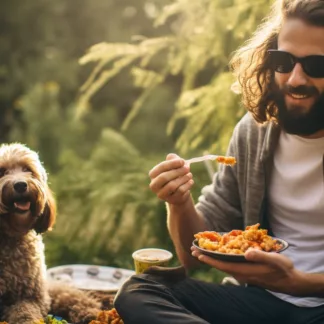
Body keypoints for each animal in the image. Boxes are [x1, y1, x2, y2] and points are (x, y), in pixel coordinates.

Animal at [0, 144, 101, 324]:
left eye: (27, 169)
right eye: (2, 171)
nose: (20, 185)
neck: (11, 236)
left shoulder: (31, 296)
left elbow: (25, 312)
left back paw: (89, 312)